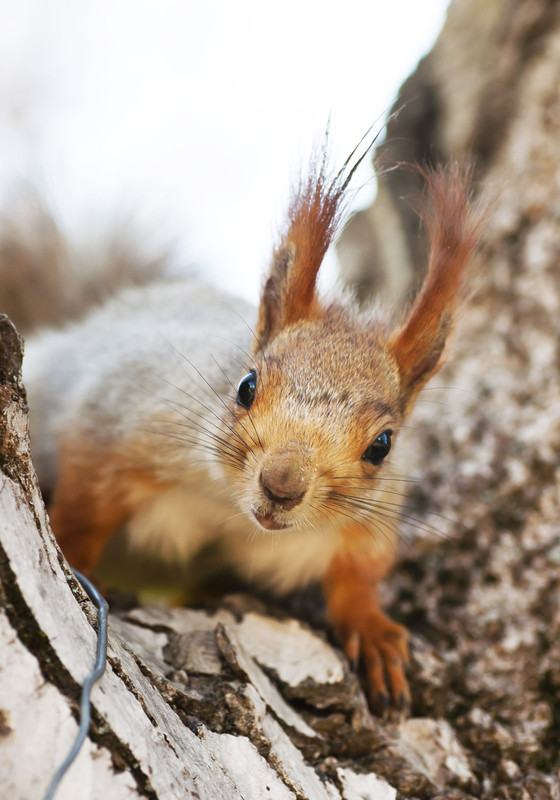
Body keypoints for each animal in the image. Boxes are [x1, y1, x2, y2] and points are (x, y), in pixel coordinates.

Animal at [8, 144, 484, 708]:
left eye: (382, 446)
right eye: (246, 386)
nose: (282, 486)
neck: (230, 511)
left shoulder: (369, 516)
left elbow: (360, 570)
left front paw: (371, 629)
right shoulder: (120, 420)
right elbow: (84, 505)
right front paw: (69, 555)